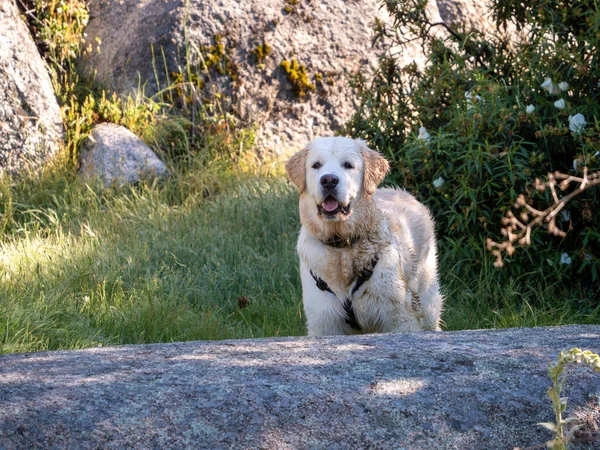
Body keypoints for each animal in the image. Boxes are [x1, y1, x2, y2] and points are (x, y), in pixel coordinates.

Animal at [286, 135, 446, 336]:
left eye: (348, 165)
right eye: (316, 165)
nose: (329, 180)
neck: (342, 245)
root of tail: (403, 192)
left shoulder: (399, 318)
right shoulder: (325, 322)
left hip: (426, 293)